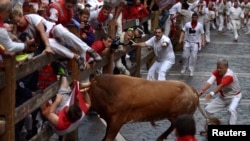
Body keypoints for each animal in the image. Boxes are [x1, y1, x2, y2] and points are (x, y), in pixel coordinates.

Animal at [81, 74, 218, 140]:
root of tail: (191, 89)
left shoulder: (117, 121)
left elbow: (108, 137)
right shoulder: (110, 121)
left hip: (182, 116)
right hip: (173, 116)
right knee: (172, 125)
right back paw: (161, 137)